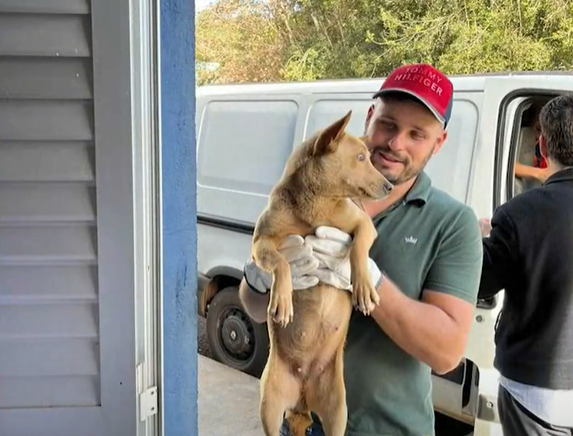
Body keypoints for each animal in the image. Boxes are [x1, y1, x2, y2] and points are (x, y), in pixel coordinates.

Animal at [238, 111, 394, 436]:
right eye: (361, 157)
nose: (389, 186)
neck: (316, 203)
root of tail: (303, 394)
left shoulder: (362, 224)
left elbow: (359, 248)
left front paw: (362, 286)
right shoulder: (261, 244)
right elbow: (282, 262)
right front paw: (282, 299)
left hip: (337, 412)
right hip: (270, 405)